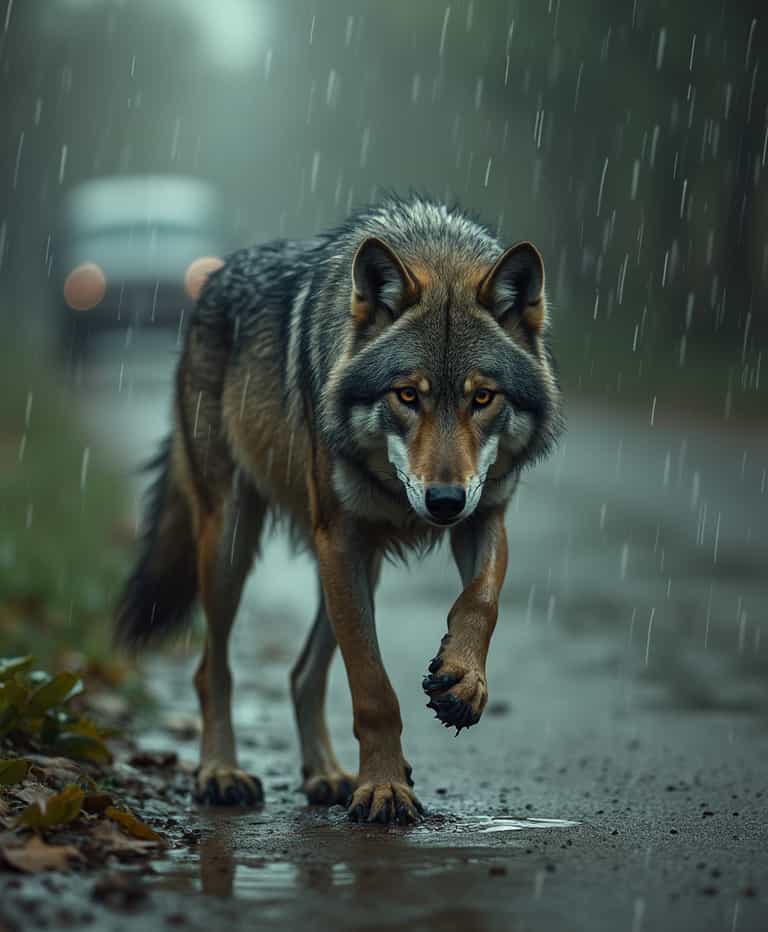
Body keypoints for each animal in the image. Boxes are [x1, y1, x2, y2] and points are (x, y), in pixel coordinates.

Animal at [116, 196, 563, 824]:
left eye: (482, 397)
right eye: (407, 395)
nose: (442, 502)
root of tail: (211, 282)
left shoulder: (483, 517)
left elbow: (482, 601)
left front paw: (462, 682)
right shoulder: (341, 537)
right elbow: (373, 689)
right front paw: (383, 789)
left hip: (355, 568)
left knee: (301, 673)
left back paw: (325, 775)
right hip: (234, 543)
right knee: (212, 669)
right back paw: (221, 772)